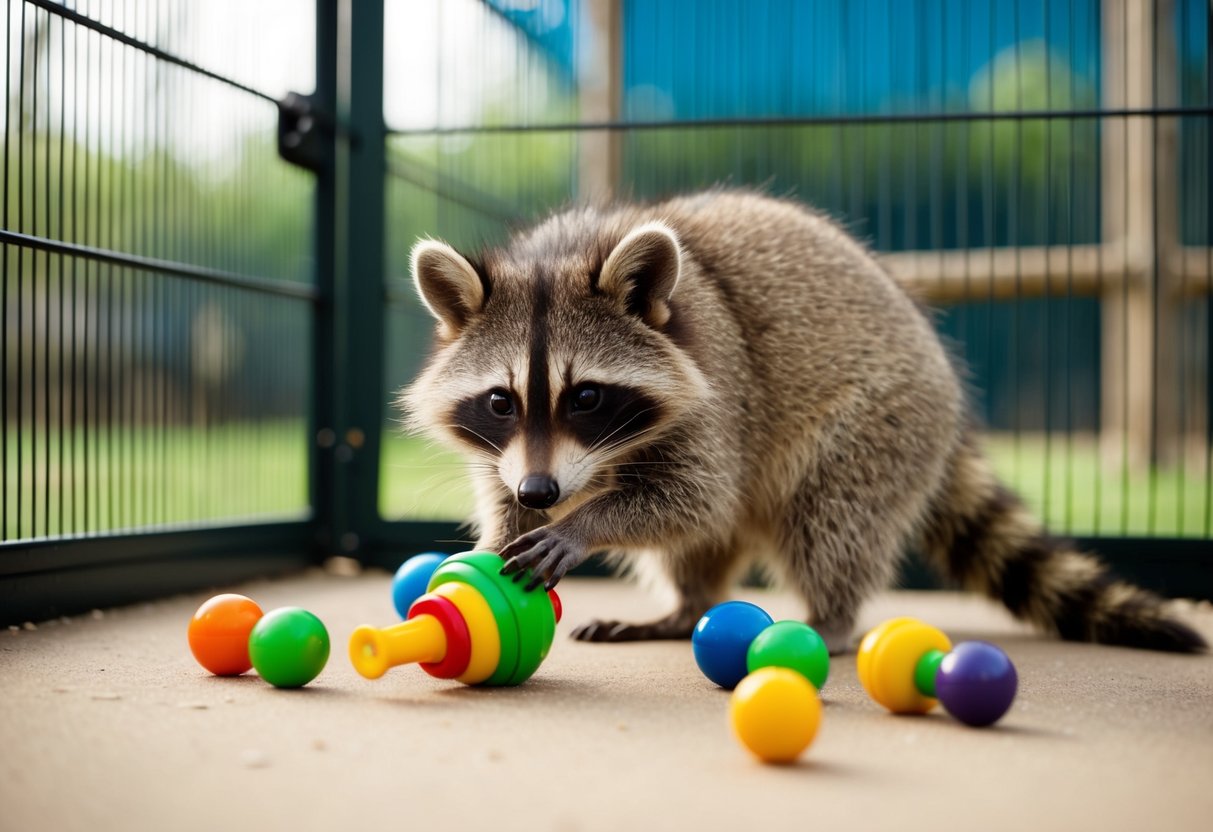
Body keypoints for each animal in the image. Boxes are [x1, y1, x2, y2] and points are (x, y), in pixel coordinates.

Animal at [402, 189, 1206, 654]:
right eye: (501, 401)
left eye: (588, 398)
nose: (542, 494)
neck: (560, 255)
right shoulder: (507, 449)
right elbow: (512, 489)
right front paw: (504, 530)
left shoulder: (719, 390)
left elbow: (696, 499)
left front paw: (583, 524)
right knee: (703, 550)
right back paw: (683, 607)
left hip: (883, 421)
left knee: (829, 520)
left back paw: (831, 619)